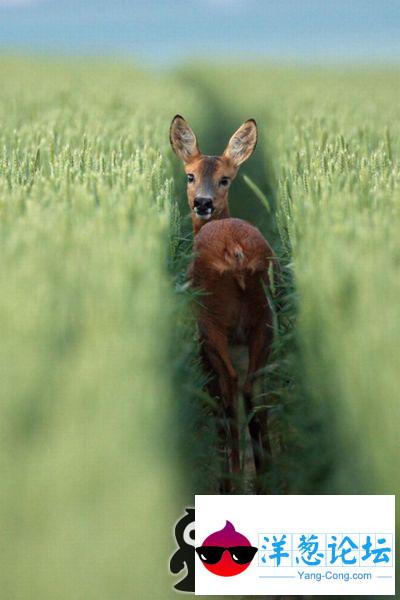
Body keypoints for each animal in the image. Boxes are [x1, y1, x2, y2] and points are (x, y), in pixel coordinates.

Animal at [169, 116, 278, 488]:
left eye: (224, 179)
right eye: (190, 175)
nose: (202, 203)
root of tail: (236, 252)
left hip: (211, 321)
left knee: (230, 388)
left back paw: (229, 479)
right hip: (264, 320)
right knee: (253, 388)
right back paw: (263, 478)